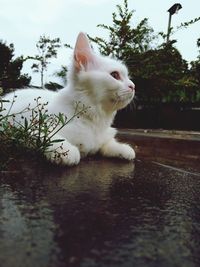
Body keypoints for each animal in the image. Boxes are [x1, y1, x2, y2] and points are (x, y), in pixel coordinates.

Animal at [2, 31, 136, 165]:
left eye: (128, 77)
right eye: (115, 75)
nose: (133, 86)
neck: (95, 120)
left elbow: (106, 143)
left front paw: (122, 148)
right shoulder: (26, 130)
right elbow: (49, 138)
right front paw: (66, 151)